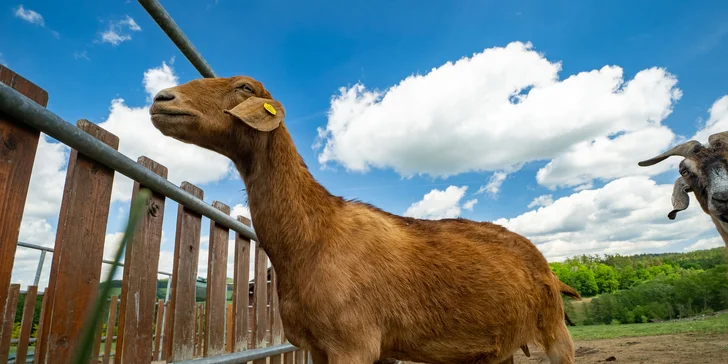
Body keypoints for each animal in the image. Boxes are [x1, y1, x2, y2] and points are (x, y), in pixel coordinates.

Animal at [149, 75, 580, 362]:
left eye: (245, 88)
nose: (162, 98)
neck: (314, 235)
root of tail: (545, 264)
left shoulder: (353, 343)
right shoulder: (319, 347)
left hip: (554, 328)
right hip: (495, 349)